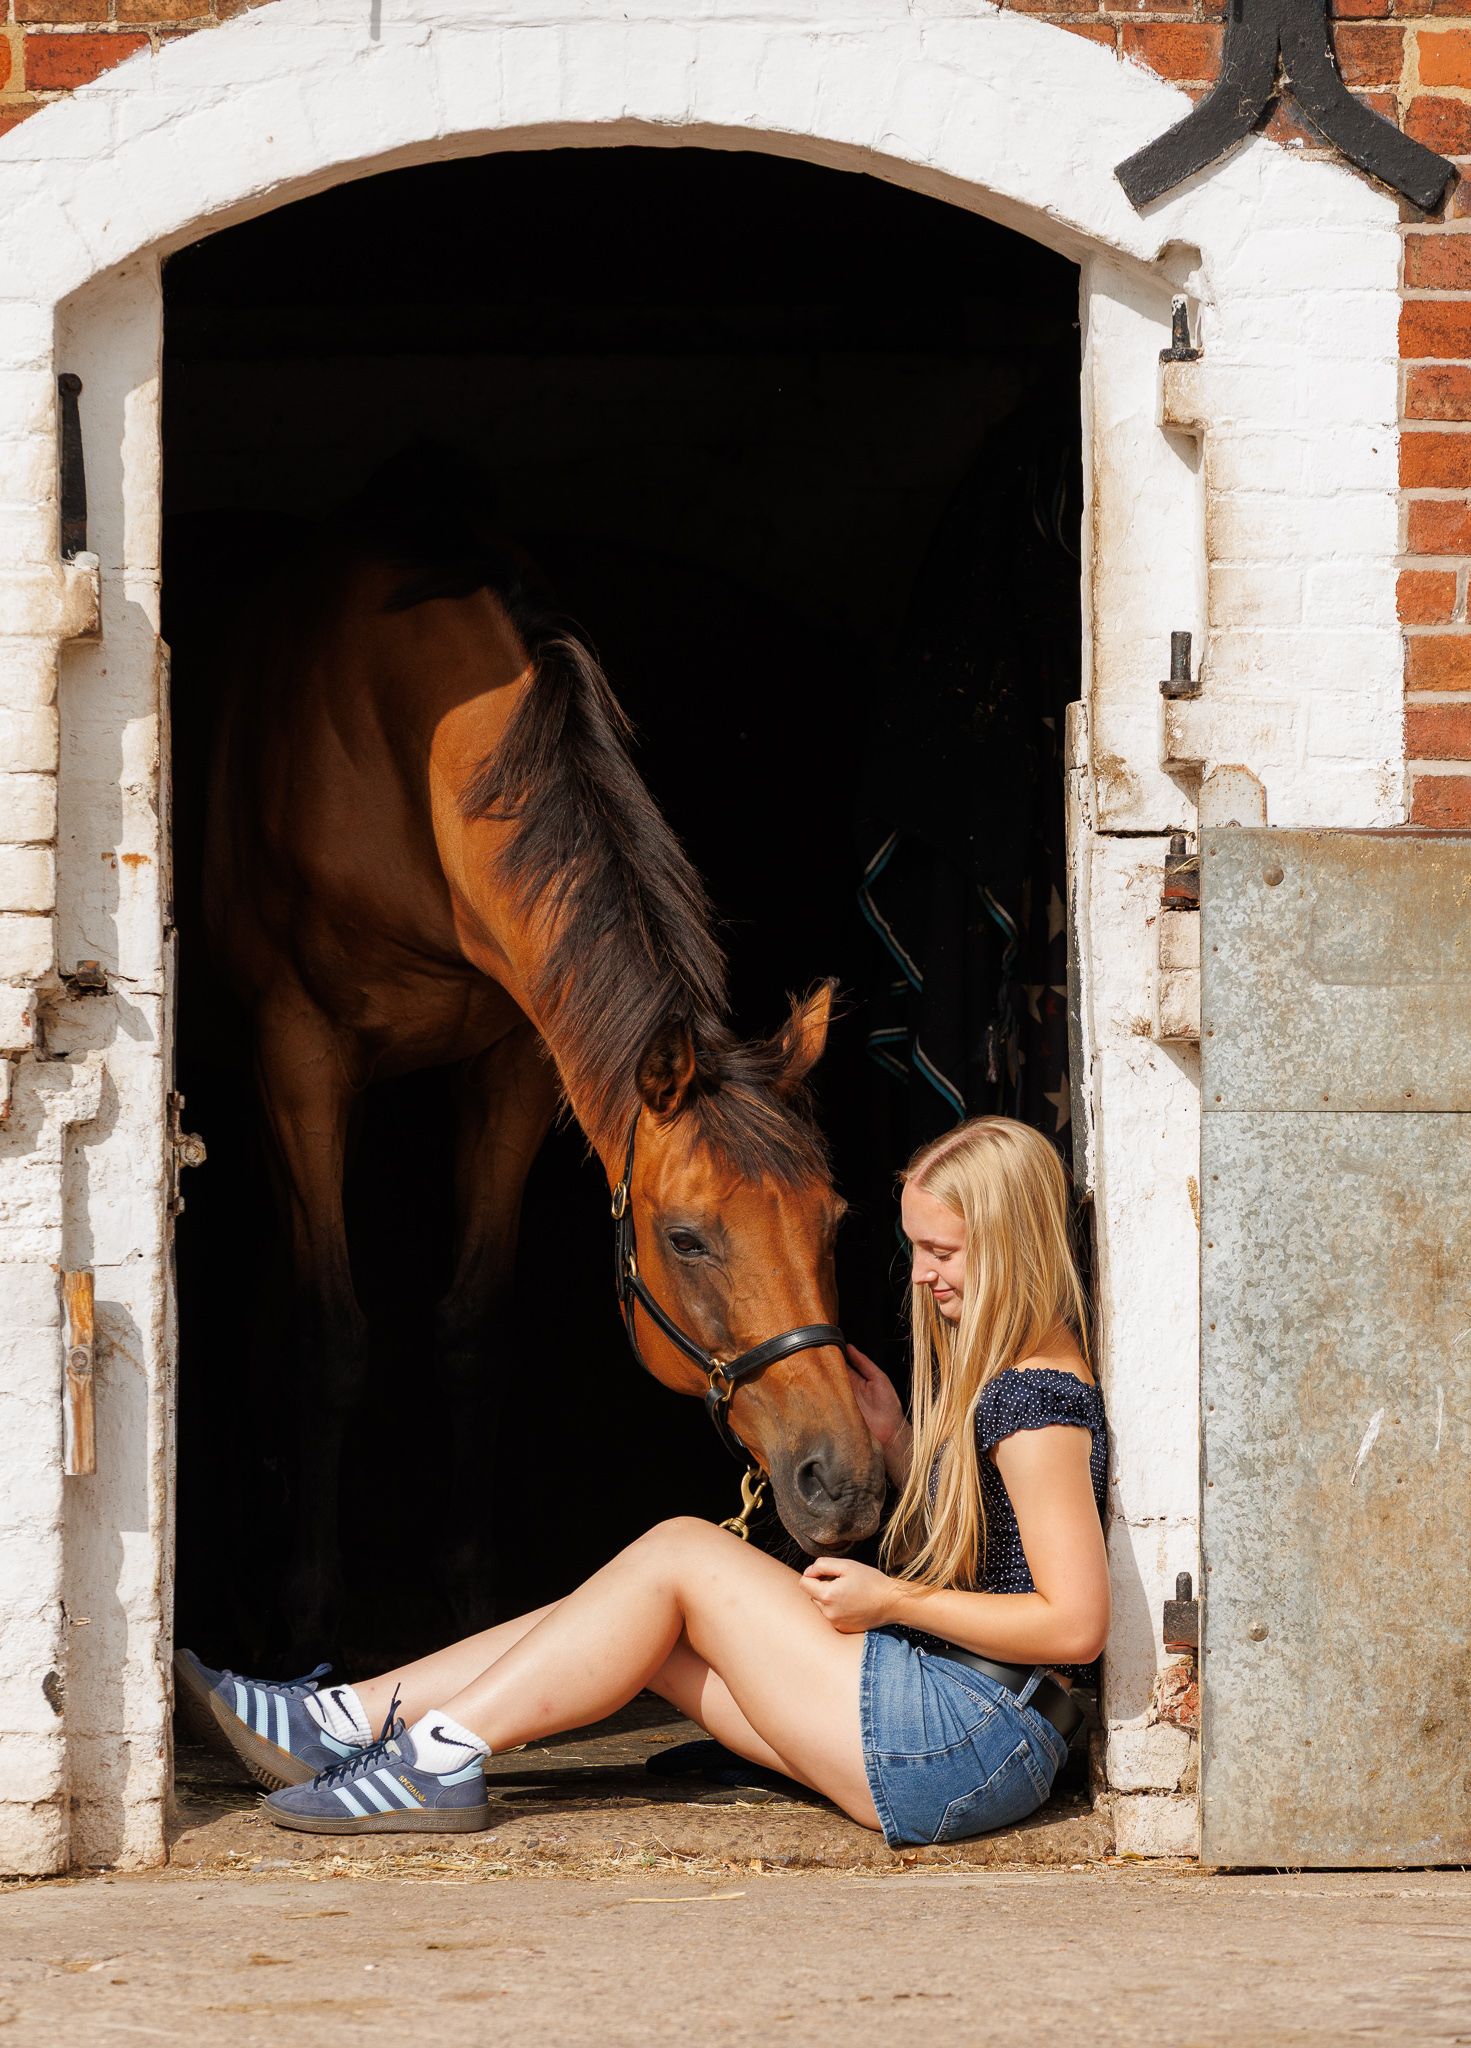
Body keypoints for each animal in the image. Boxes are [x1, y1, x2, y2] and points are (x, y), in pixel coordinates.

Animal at [201, 454, 886, 1637]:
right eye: (687, 1239)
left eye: (834, 1219)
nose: (838, 1484)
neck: (411, 762)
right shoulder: (301, 1049)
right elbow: (332, 1336)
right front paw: (308, 1604)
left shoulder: (516, 1066)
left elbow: (473, 1330)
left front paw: (469, 1587)